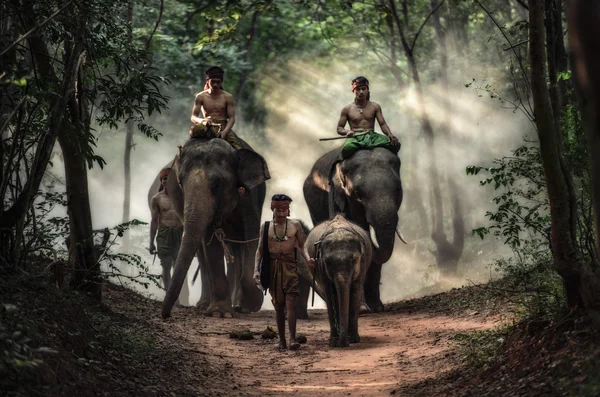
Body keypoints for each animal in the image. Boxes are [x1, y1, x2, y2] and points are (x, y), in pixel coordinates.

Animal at [158, 136, 270, 318]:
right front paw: (220, 313)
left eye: (218, 183)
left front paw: (250, 305)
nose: (166, 315)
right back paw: (205, 304)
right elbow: (210, 243)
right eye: (180, 183)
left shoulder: (249, 198)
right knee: (203, 255)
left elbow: (250, 237)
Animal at [310, 213, 370, 346]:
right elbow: (330, 294)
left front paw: (354, 340)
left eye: (354, 260)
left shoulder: (362, 265)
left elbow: (355, 291)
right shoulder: (321, 268)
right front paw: (333, 342)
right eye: (328, 262)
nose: (344, 343)